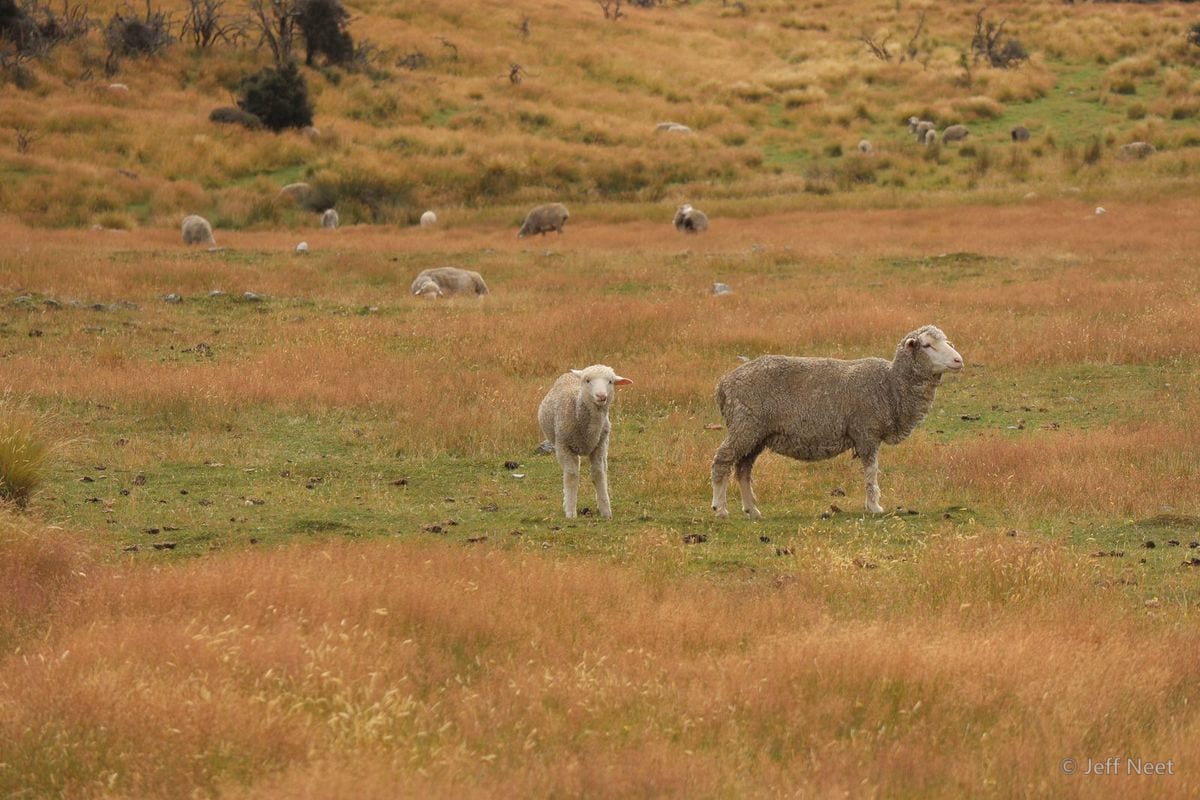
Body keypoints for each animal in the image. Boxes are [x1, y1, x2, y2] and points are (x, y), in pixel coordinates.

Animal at [537, 364, 632, 518]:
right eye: (588, 380)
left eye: (610, 381)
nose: (601, 396)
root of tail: (571, 374)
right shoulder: (564, 446)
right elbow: (571, 476)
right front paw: (570, 511)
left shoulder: (599, 445)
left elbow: (599, 473)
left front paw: (605, 510)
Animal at [710, 325, 963, 518]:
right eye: (927, 345)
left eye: (947, 341)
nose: (959, 360)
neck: (890, 385)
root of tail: (723, 384)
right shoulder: (866, 431)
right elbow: (872, 471)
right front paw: (874, 506)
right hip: (745, 425)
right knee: (722, 461)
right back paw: (720, 508)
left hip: (756, 434)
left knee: (743, 469)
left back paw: (752, 510)